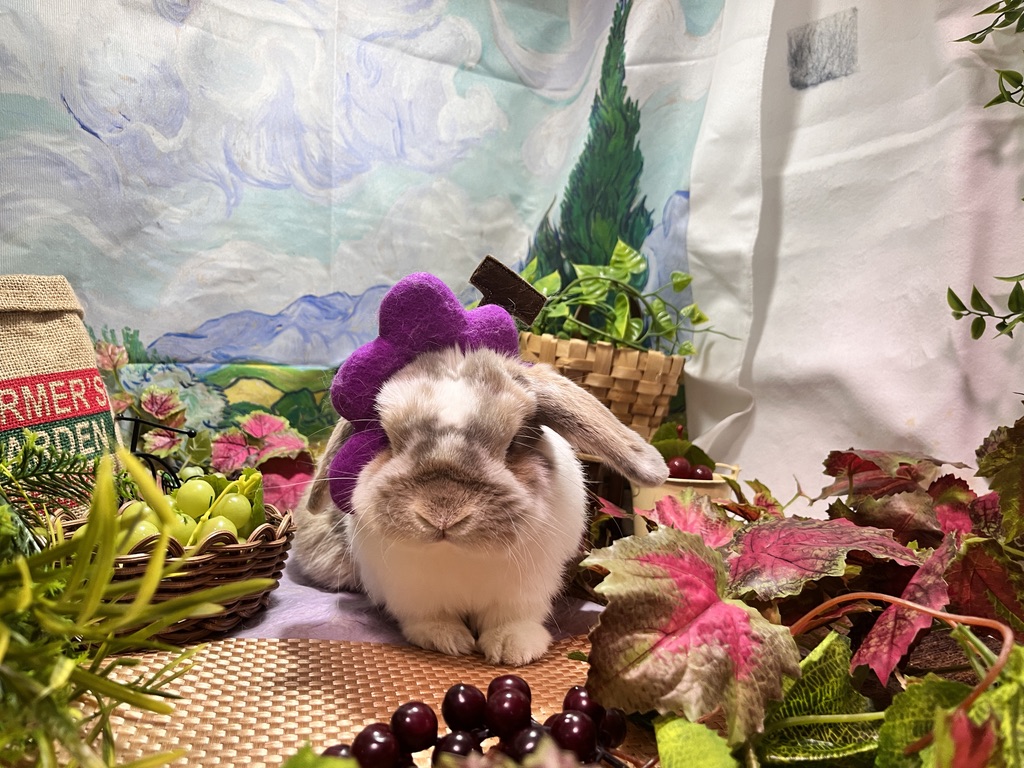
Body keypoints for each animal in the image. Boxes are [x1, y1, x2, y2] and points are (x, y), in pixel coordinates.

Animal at [291, 345, 669, 666]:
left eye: (515, 442)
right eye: (384, 437)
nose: (443, 514)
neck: (457, 555)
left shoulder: (526, 589)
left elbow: (513, 619)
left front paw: (514, 648)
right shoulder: (412, 591)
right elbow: (429, 618)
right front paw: (447, 639)